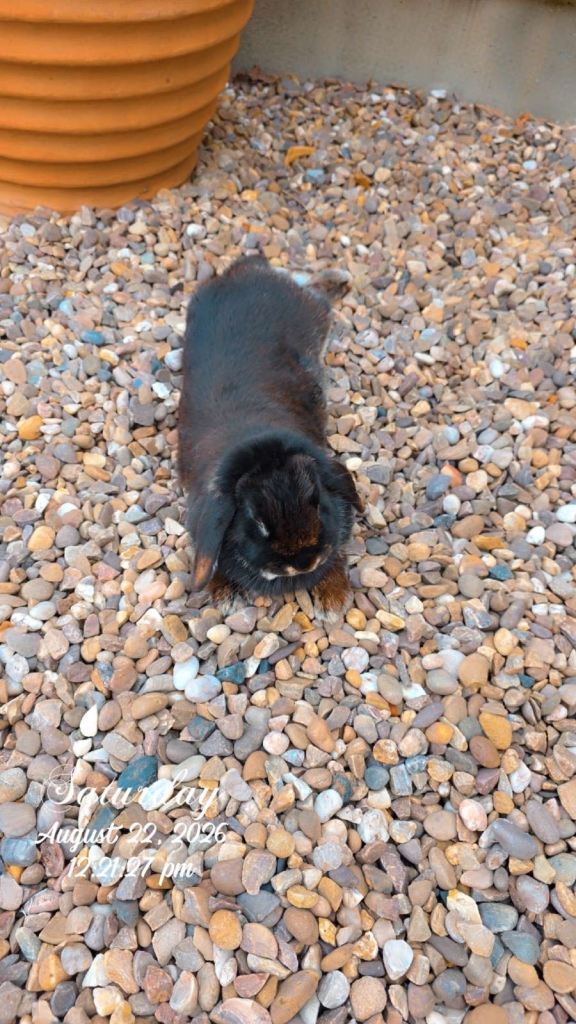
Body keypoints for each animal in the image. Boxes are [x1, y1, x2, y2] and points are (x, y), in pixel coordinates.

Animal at [178, 254, 361, 618]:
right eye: (256, 522)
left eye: (318, 502)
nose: (304, 563)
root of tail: (245, 273)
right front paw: (223, 594)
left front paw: (333, 599)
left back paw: (340, 278)